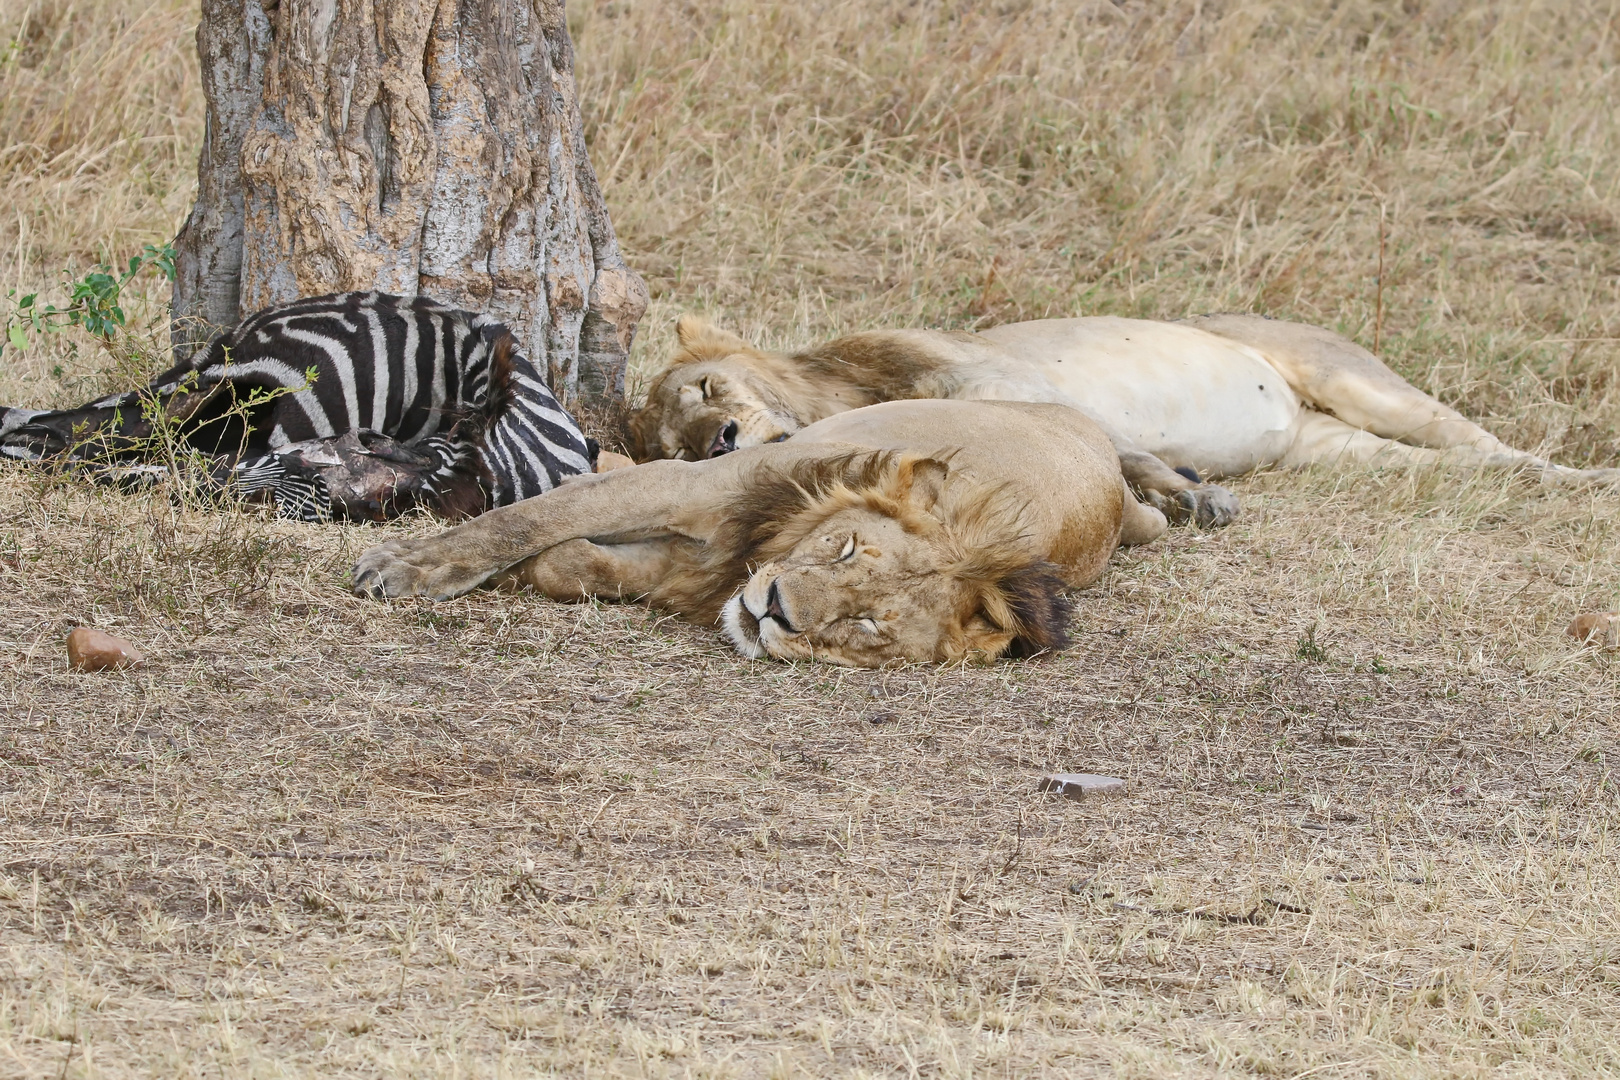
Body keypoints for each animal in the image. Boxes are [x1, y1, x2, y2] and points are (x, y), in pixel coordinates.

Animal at [351, 399, 1166, 667]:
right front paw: (405, 567)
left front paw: (542, 568)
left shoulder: (696, 560)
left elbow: (573, 561)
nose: (773, 609)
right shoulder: (687, 486)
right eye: (844, 547)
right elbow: (525, 519)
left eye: (864, 624)